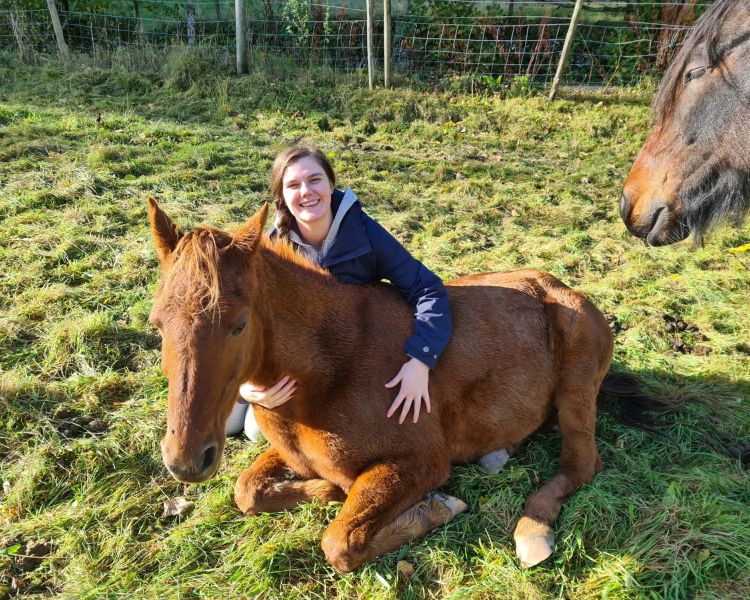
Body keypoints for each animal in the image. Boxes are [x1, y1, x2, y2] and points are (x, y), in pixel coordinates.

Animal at [148, 199, 652, 571]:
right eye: (157, 323)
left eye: (237, 324)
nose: (185, 460)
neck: (330, 369)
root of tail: (566, 289)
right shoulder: (292, 451)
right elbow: (247, 491)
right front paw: (325, 489)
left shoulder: (420, 463)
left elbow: (340, 542)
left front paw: (436, 507)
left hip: (576, 390)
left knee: (581, 464)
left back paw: (533, 530)